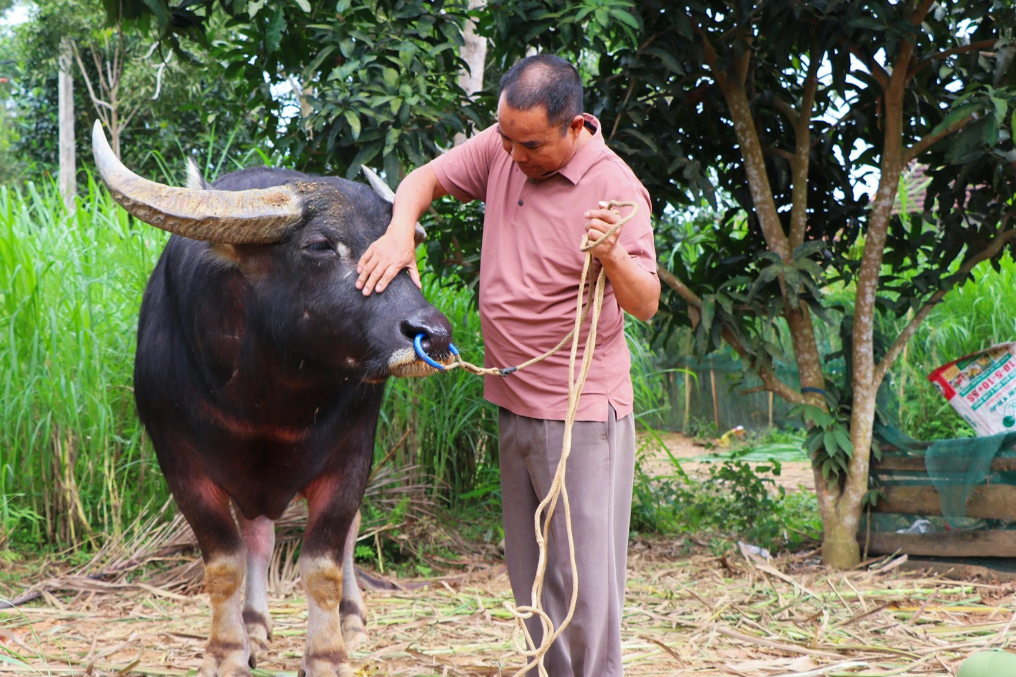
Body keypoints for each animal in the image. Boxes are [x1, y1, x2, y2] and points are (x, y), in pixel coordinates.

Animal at [93, 121, 455, 674]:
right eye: (321, 244)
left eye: (404, 247)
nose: (433, 335)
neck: (267, 402)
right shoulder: (179, 461)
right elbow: (225, 562)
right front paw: (227, 649)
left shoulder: (352, 456)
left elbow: (324, 562)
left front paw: (327, 652)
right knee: (258, 540)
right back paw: (254, 628)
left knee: (341, 536)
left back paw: (350, 618)